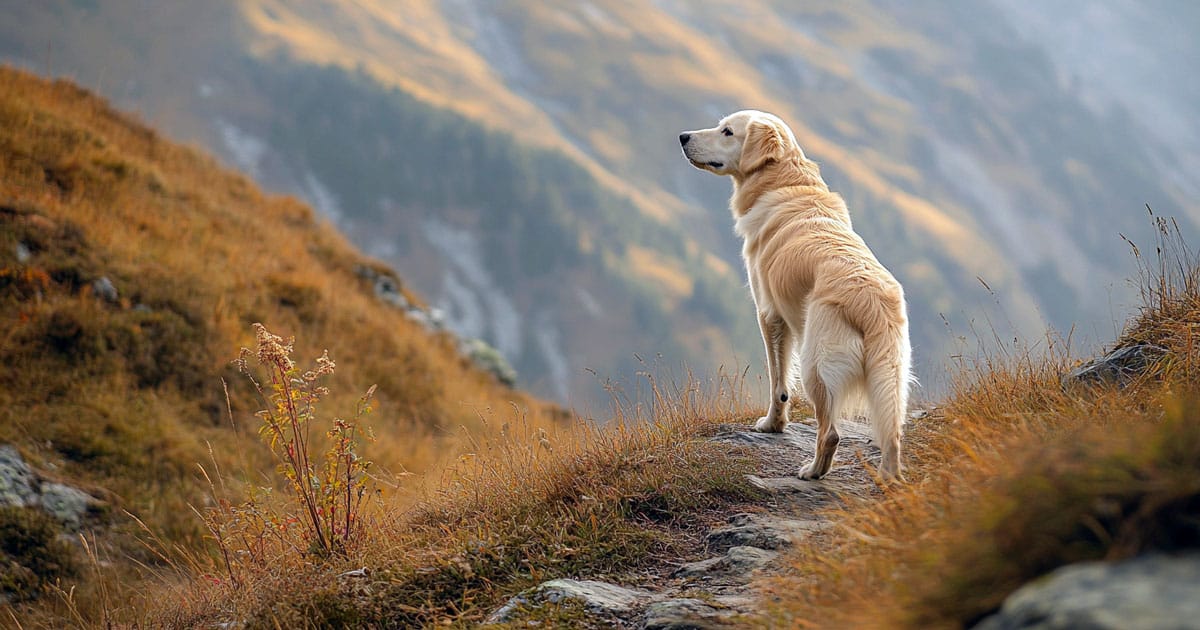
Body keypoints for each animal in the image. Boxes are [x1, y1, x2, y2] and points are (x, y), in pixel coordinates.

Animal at [686, 110, 907, 480]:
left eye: (727, 131)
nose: (683, 137)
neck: (784, 181)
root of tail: (870, 300)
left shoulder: (769, 314)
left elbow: (779, 384)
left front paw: (772, 425)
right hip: (890, 377)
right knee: (892, 435)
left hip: (814, 363)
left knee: (830, 432)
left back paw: (813, 471)